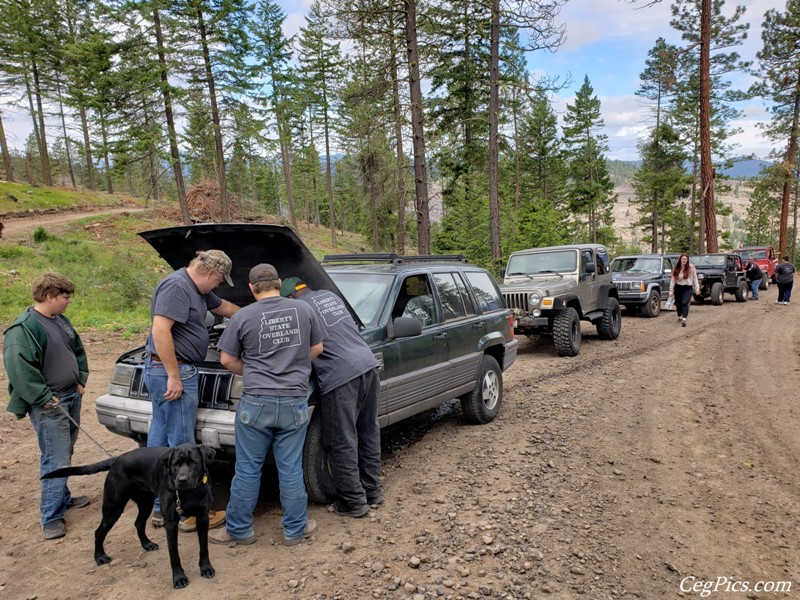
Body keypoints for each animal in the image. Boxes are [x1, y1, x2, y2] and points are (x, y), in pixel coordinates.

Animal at [42, 442, 217, 588]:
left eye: (193, 462)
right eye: (175, 465)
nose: (182, 480)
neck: (189, 493)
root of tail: (117, 458)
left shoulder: (203, 518)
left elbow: (204, 547)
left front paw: (206, 568)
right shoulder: (171, 523)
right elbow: (174, 554)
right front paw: (179, 578)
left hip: (145, 503)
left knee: (138, 523)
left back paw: (147, 544)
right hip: (113, 507)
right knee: (99, 532)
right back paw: (100, 557)